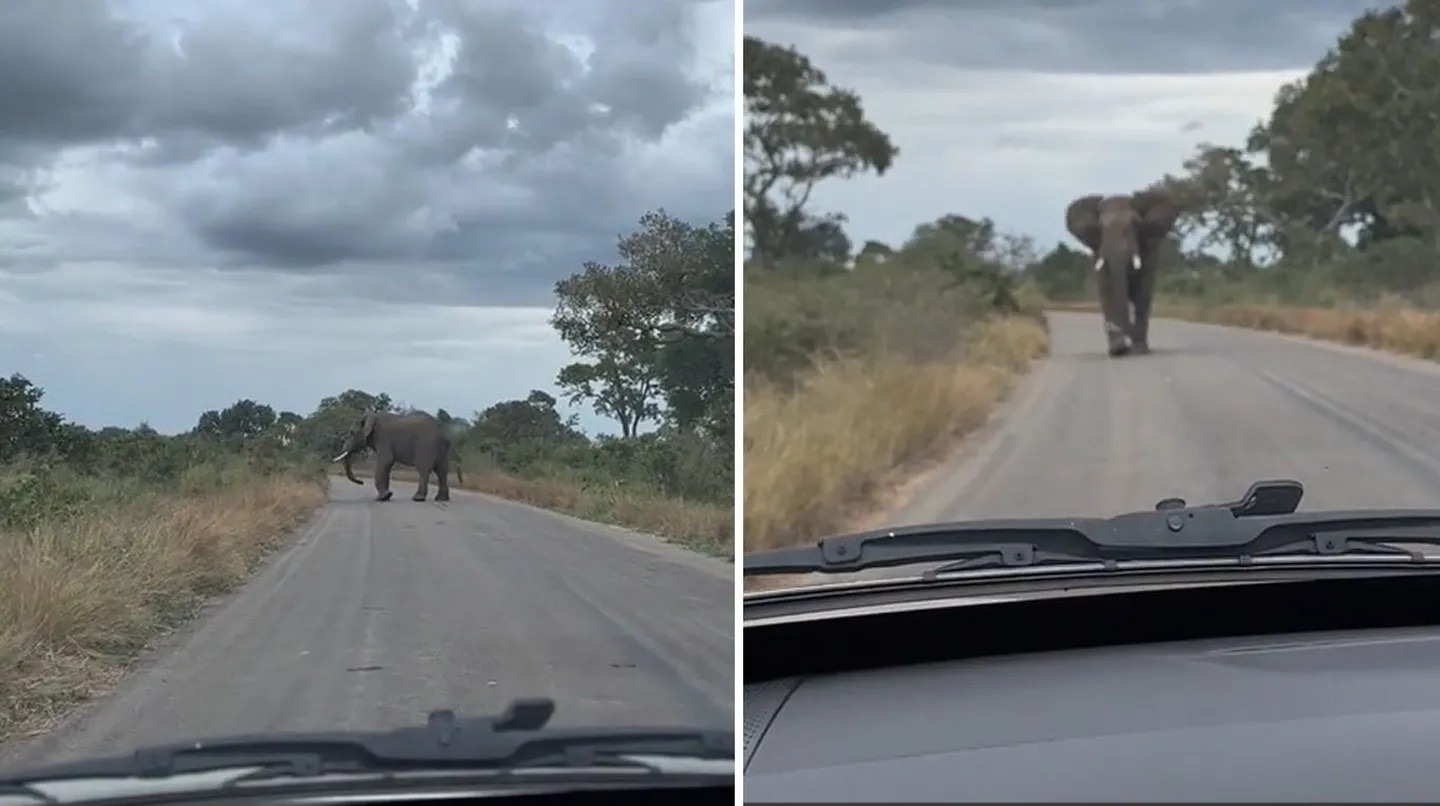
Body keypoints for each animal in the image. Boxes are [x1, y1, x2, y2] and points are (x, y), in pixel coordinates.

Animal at [329, 411, 460, 500]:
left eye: (351, 433)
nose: (362, 482)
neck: (371, 416)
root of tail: (442, 432)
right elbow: (387, 466)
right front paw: (386, 496)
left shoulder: (383, 438)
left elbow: (385, 462)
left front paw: (382, 498)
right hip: (442, 449)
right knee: (442, 470)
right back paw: (441, 499)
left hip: (426, 445)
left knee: (424, 469)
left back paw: (418, 498)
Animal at [1065, 189, 1175, 356]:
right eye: (1100, 228)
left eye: (1136, 224)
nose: (1128, 347)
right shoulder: (1099, 251)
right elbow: (1107, 291)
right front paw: (1118, 350)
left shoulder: (1148, 252)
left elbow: (1142, 294)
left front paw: (1139, 349)